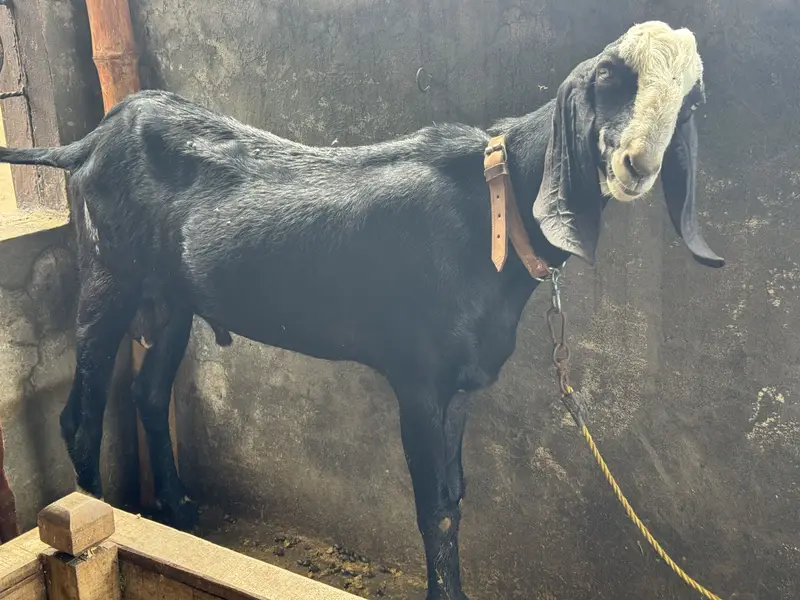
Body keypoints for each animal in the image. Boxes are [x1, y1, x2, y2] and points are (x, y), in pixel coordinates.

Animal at [0, 21, 723, 600]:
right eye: (607, 76)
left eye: (692, 102)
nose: (636, 162)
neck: (494, 206)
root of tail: (88, 142)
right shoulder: (419, 377)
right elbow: (433, 506)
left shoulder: (460, 385)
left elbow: (457, 497)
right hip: (108, 275)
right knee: (80, 417)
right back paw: (95, 522)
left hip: (173, 297)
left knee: (149, 394)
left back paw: (177, 512)